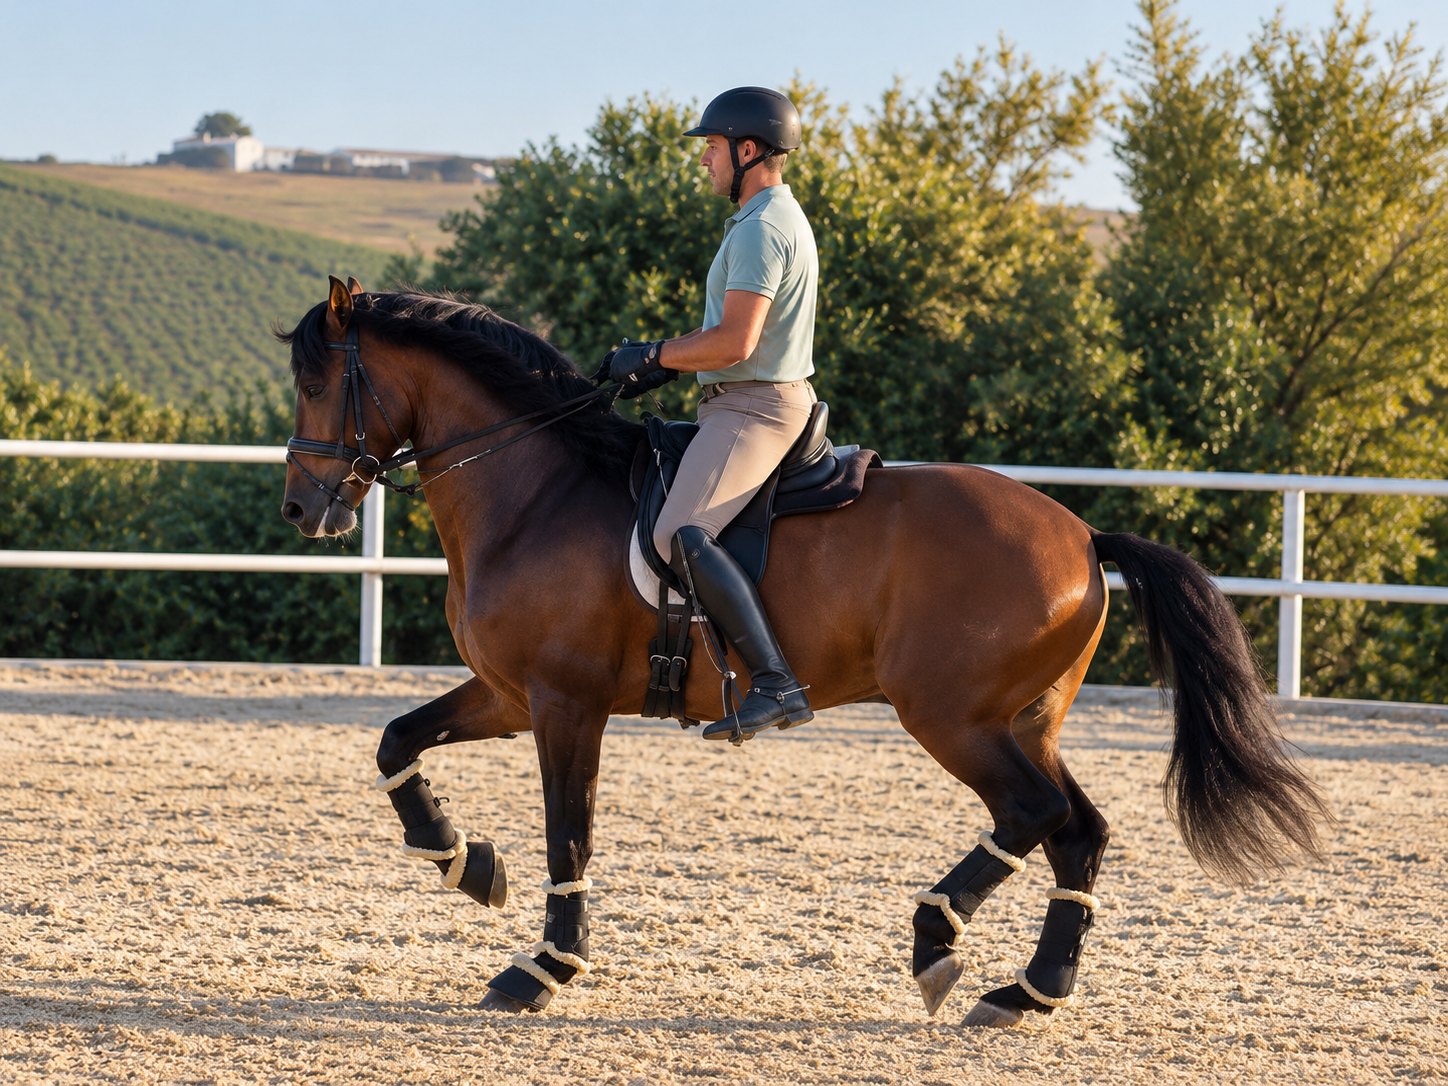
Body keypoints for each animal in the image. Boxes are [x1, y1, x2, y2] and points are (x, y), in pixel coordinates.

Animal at [278, 276, 1329, 1027]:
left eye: (318, 383)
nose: (300, 509)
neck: (534, 489)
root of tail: (1081, 536)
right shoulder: (506, 691)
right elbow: (396, 741)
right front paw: (464, 862)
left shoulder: (563, 702)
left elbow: (567, 831)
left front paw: (543, 968)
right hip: (1023, 717)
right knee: (1077, 830)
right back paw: (1028, 990)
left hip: (950, 715)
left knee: (1032, 814)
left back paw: (937, 938)